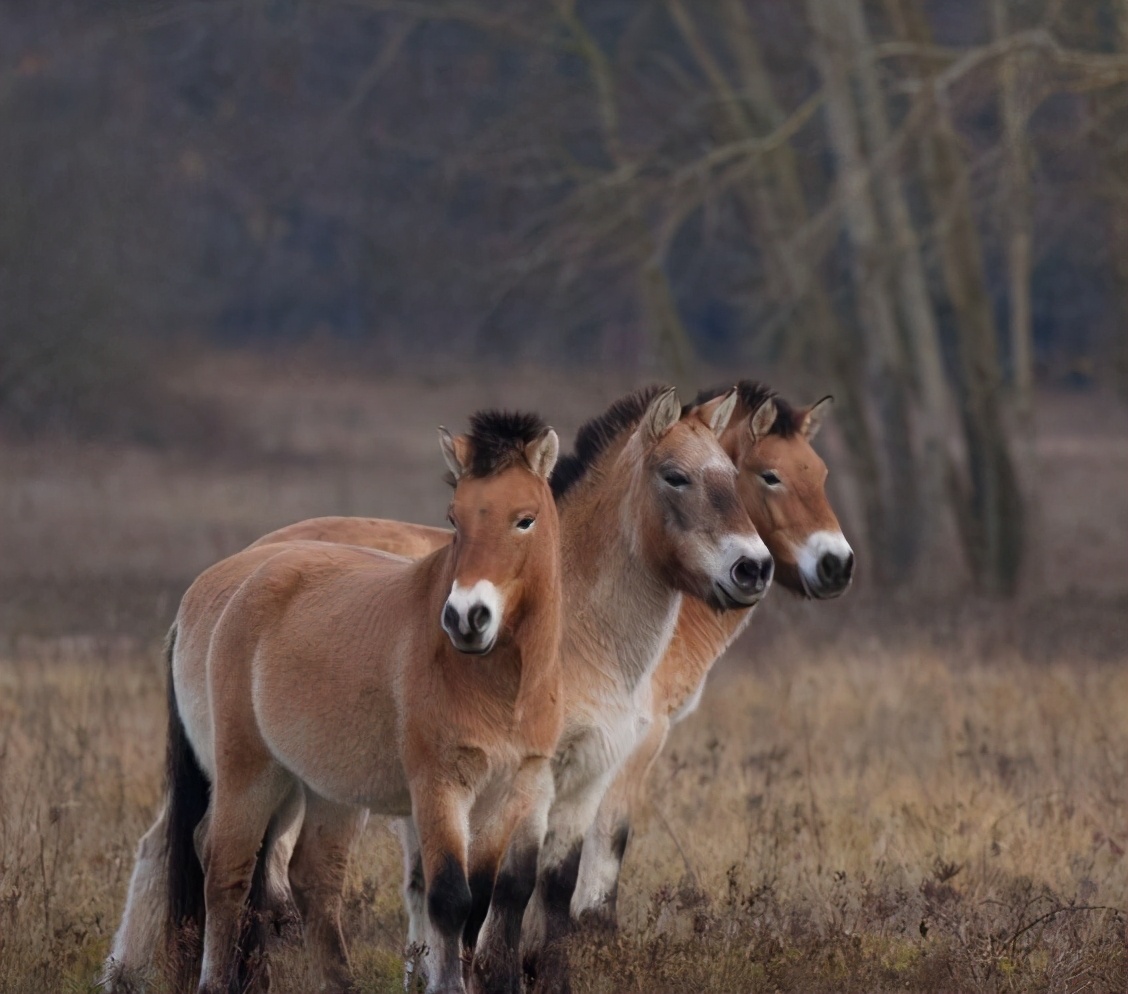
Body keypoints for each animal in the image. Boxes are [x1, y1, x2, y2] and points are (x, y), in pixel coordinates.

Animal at [102, 408, 564, 992]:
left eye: (525, 520)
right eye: (454, 518)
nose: (466, 617)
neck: (500, 682)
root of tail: (222, 588)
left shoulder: (515, 791)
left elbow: (480, 905)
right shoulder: (439, 788)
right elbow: (449, 900)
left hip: (325, 790)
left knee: (312, 878)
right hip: (251, 773)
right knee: (225, 866)